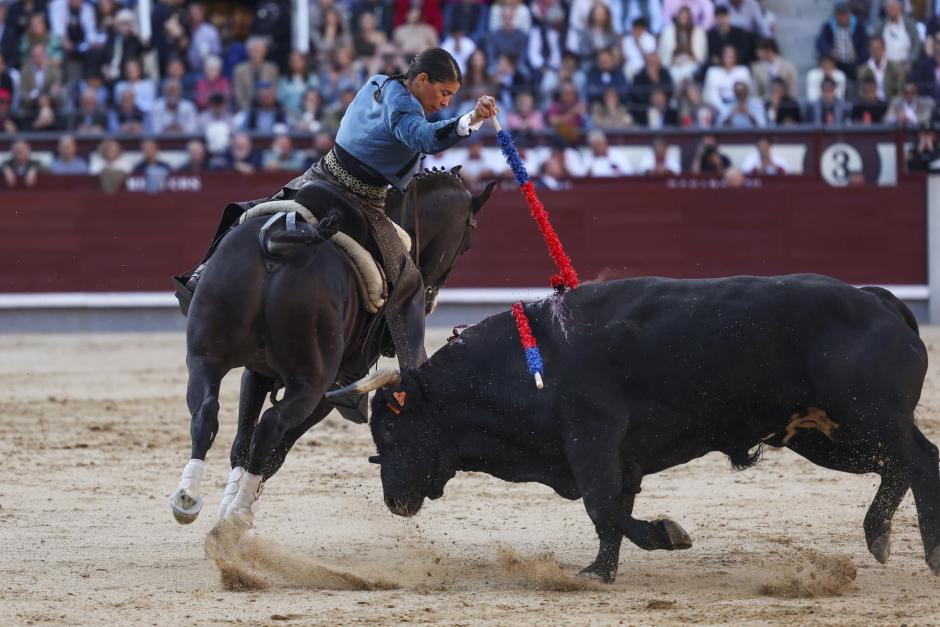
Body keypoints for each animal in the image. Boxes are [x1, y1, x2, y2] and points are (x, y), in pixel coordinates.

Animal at [168, 168, 496, 528]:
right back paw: (235, 513)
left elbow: (242, 442)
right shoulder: (335, 388)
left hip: (205, 356)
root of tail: (278, 246)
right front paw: (235, 511)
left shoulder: (256, 372)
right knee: (270, 425)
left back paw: (188, 498)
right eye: (468, 241)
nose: (431, 300)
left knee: (206, 411)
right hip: (313, 383)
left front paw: (227, 507)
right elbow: (274, 451)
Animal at [338, 274, 940, 584]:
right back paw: (878, 536)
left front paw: (666, 536)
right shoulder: (615, 457)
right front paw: (600, 572)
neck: (533, 362)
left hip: (870, 418)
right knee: (899, 467)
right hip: (824, 436)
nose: (394, 501)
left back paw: (927, 553)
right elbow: (611, 514)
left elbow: (603, 508)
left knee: (921, 460)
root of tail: (880, 300)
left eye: (389, 434)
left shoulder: (592, 440)